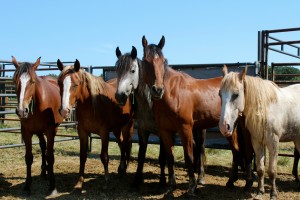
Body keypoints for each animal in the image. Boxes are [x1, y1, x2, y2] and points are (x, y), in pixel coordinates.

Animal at [11, 55, 63, 195]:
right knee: (43, 145)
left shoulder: (50, 130)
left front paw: (52, 186)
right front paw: (27, 185)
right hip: (38, 131)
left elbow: (50, 156)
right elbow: (28, 158)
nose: (22, 110)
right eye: (14, 80)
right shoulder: (26, 131)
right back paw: (43, 171)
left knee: (47, 149)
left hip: (52, 129)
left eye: (32, 81)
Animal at [56, 59, 134, 191]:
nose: (64, 111)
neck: (92, 105)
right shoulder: (82, 132)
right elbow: (82, 156)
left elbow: (104, 156)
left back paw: (124, 169)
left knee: (126, 144)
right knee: (121, 144)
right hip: (117, 128)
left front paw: (106, 181)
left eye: (75, 84)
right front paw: (79, 182)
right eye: (60, 83)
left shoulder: (104, 133)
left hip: (128, 125)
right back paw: (121, 169)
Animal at [218, 65, 300, 199]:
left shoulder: (273, 142)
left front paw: (273, 194)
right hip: (298, 139)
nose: (224, 126)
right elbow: (261, 168)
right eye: (219, 94)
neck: (265, 110)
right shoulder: (257, 142)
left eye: (236, 94)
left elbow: (272, 171)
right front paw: (260, 191)